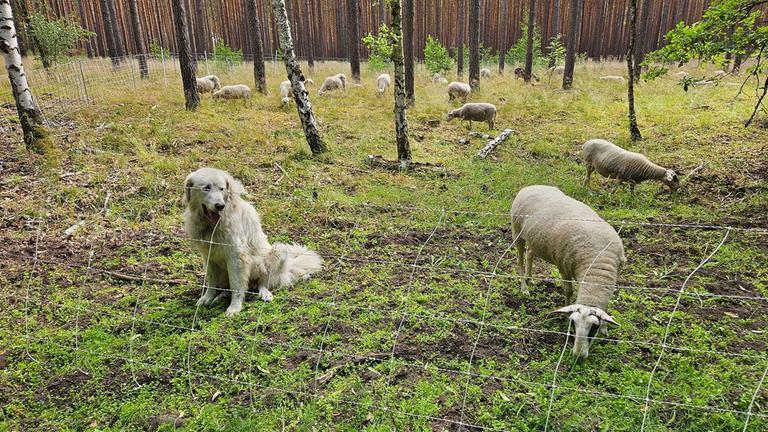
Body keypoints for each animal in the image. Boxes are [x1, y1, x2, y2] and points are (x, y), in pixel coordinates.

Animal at [511, 185, 625, 359]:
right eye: (573, 324)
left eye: (593, 328)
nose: (578, 356)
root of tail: (530, 186)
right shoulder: (563, 266)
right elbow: (568, 291)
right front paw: (564, 312)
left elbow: (605, 304)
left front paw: (605, 328)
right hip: (517, 232)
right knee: (519, 261)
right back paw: (524, 287)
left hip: (534, 238)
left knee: (530, 253)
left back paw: (529, 277)